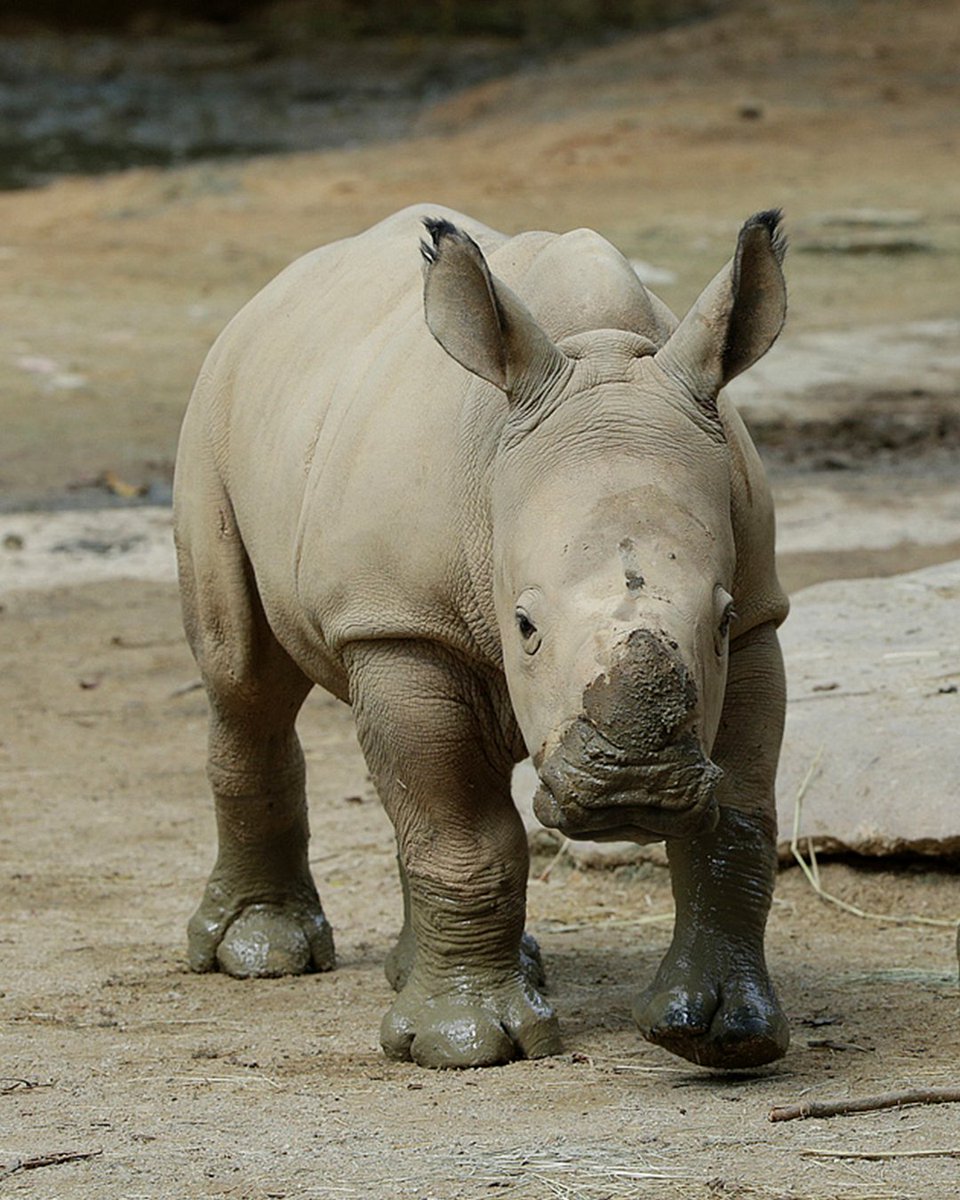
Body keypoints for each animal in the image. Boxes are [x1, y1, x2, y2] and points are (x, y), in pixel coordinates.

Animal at [174, 204, 790, 1070]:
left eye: (723, 619)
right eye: (524, 626)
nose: (635, 790)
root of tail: (272, 292)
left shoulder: (762, 612)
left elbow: (738, 818)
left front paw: (721, 1033)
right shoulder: (402, 625)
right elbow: (461, 834)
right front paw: (462, 1046)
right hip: (218, 414)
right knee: (245, 682)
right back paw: (261, 955)